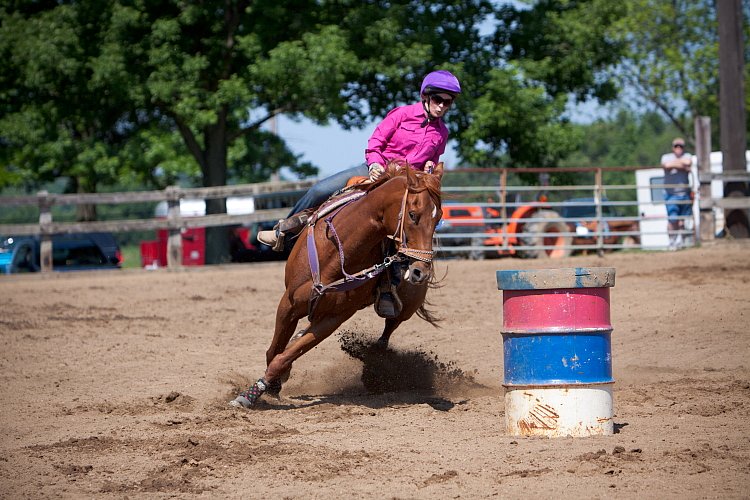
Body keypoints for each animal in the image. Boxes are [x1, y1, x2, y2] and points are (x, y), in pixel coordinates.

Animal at [232, 162, 444, 408]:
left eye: (438, 218)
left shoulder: (334, 317)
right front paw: (267, 387)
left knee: (388, 330)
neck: (337, 251)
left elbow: (284, 357)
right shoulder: (289, 302)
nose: (420, 270)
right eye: (412, 215)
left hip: (406, 308)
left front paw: (255, 392)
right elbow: (274, 350)